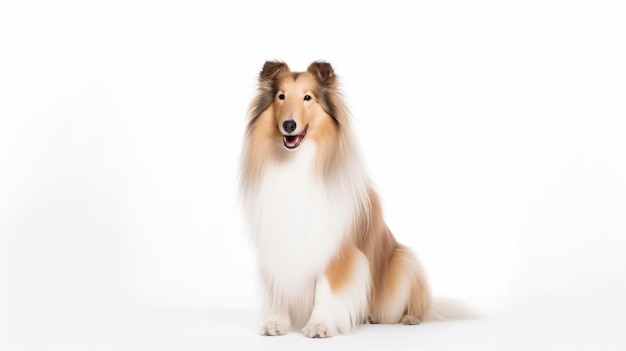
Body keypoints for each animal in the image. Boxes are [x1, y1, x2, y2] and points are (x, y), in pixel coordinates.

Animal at [239, 60, 428, 338]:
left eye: (307, 97)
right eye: (281, 96)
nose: (289, 125)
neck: (296, 163)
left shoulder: (335, 247)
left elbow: (326, 289)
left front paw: (320, 325)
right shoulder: (276, 241)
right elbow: (279, 286)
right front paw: (275, 322)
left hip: (402, 262)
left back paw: (408, 318)